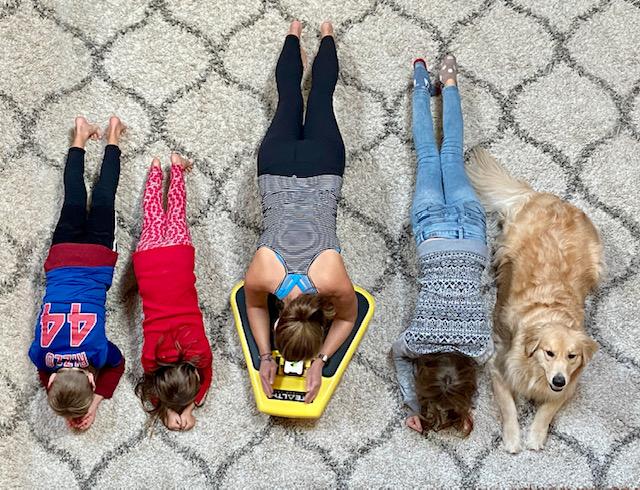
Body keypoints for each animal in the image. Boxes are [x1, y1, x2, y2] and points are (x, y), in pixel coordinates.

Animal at [468, 147, 604, 454]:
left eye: (572, 356)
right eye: (548, 352)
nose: (558, 378)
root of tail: (552, 199)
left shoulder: (570, 385)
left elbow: (548, 409)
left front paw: (536, 435)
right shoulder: (498, 366)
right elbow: (509, 406)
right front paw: (513, 438)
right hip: (506, 244)